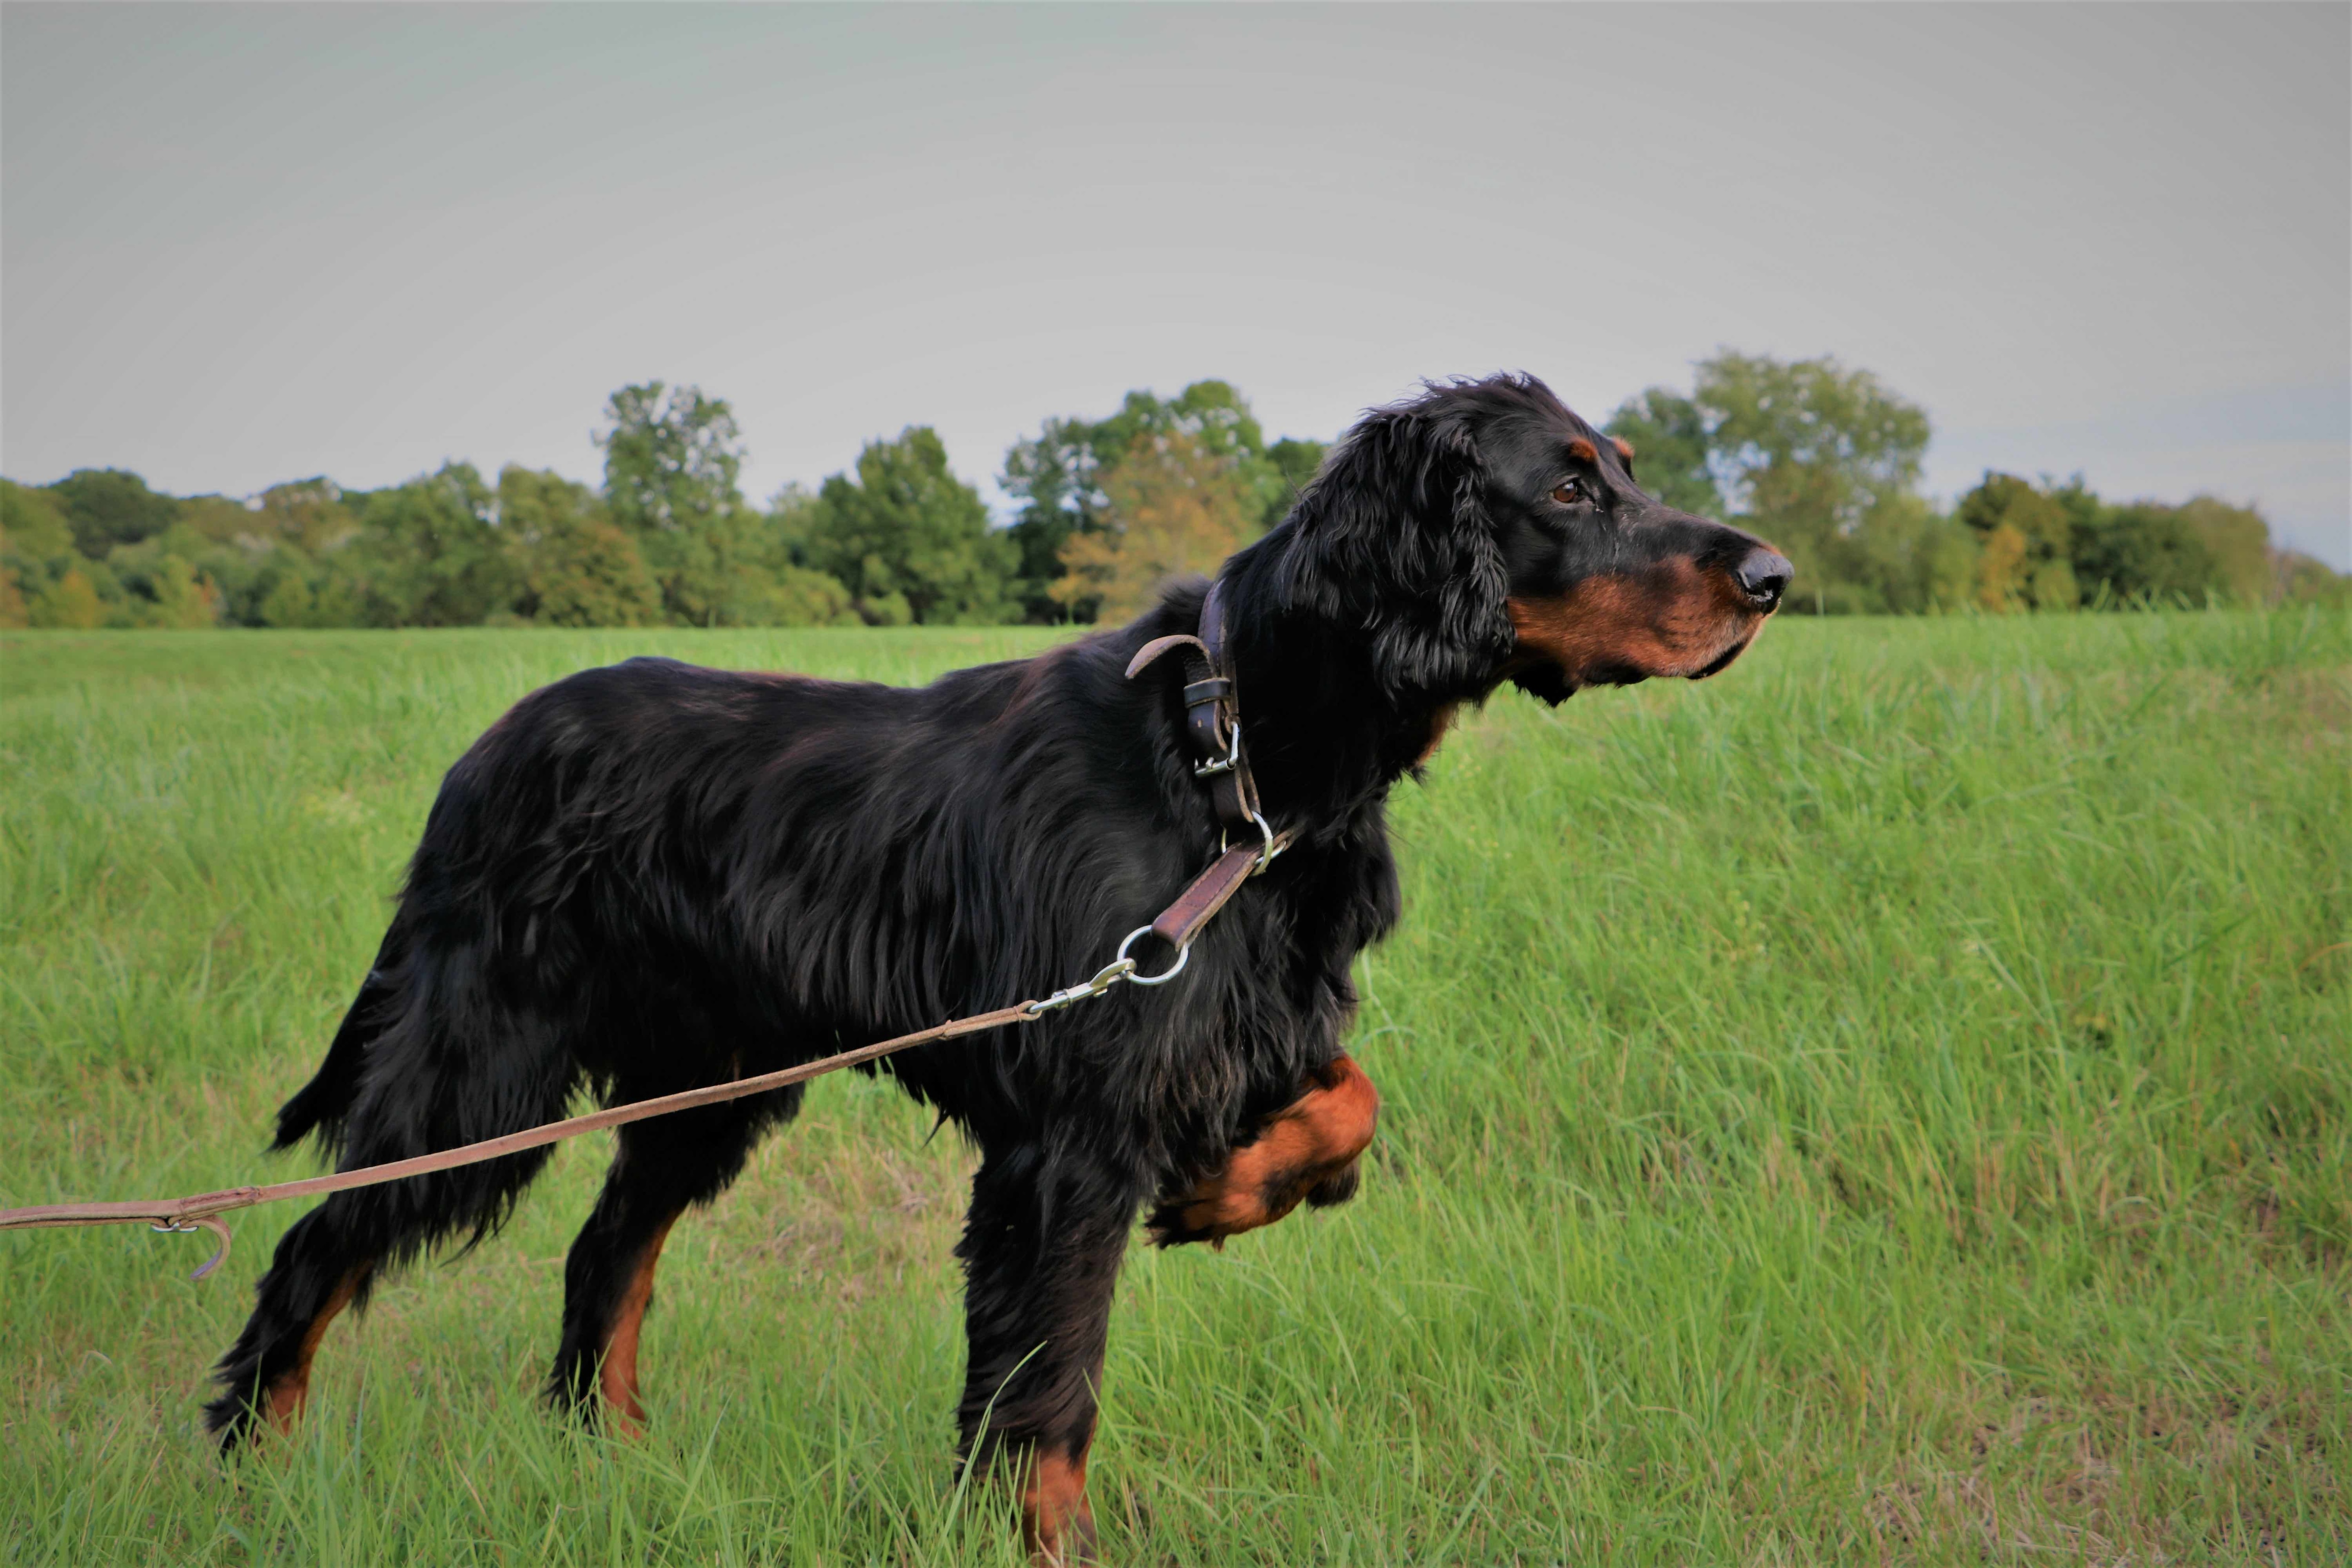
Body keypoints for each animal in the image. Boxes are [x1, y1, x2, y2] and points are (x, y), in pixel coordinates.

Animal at [212, 374, 1788, 1561]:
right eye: (1566, 489)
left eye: (1624, 467)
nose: (1773, 576)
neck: (1235, 751)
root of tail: (481, 754)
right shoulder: (1067, 1143)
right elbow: (1047, 1395)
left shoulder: (1218, 1016)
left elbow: (1348, 1104)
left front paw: (1221, 1191)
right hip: (483, 1059)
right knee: (315, 1247)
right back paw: (250, 1470)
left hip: (709, 1082)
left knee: (605, 1255)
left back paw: (615, 1466)